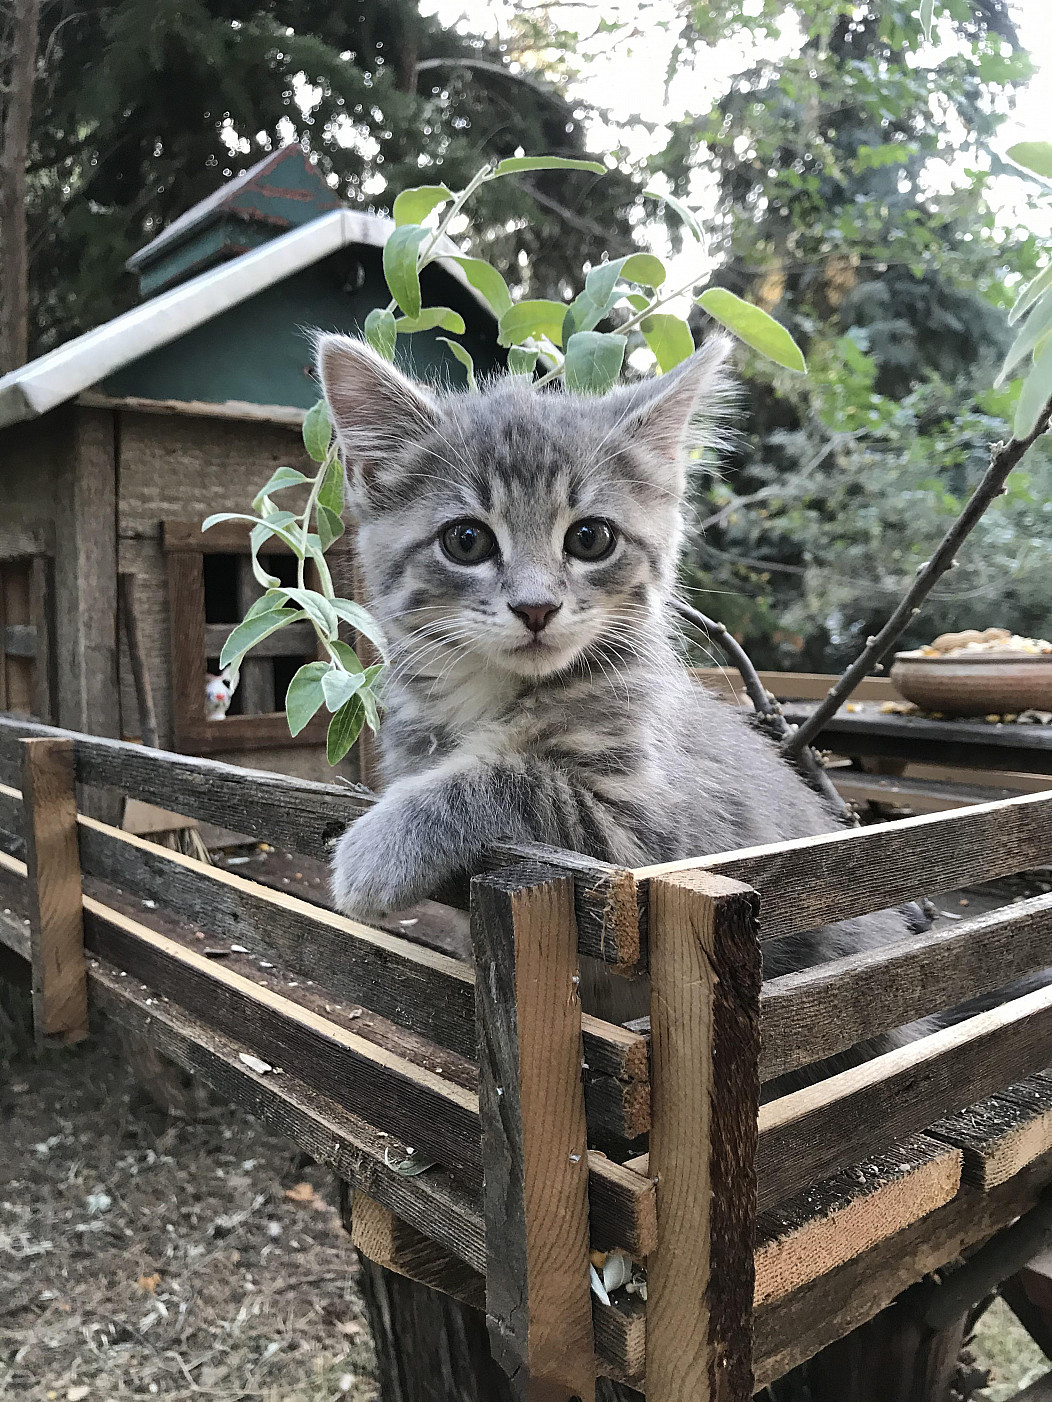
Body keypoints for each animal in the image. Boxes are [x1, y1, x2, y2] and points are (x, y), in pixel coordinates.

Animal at [315, 332, 913, 1025]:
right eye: (465, 540)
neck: (494, 692)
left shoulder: (652, 843)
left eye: (590, 538)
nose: (536, 607)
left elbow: (518, 780)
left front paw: (377, 850)